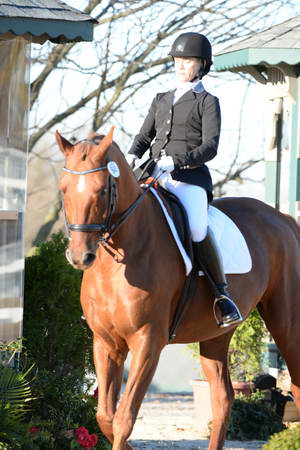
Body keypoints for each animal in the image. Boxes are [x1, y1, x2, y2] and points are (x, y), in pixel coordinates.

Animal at [55, 126, 300, 450]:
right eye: (64, 189)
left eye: (102, 190)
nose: (79, 256)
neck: (121, 260)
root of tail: (283, 219)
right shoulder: (106, 343)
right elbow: (105, 417)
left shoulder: (148, 342)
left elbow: (123, 419)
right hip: (216, 334)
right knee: (223, 397)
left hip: (286, 323)